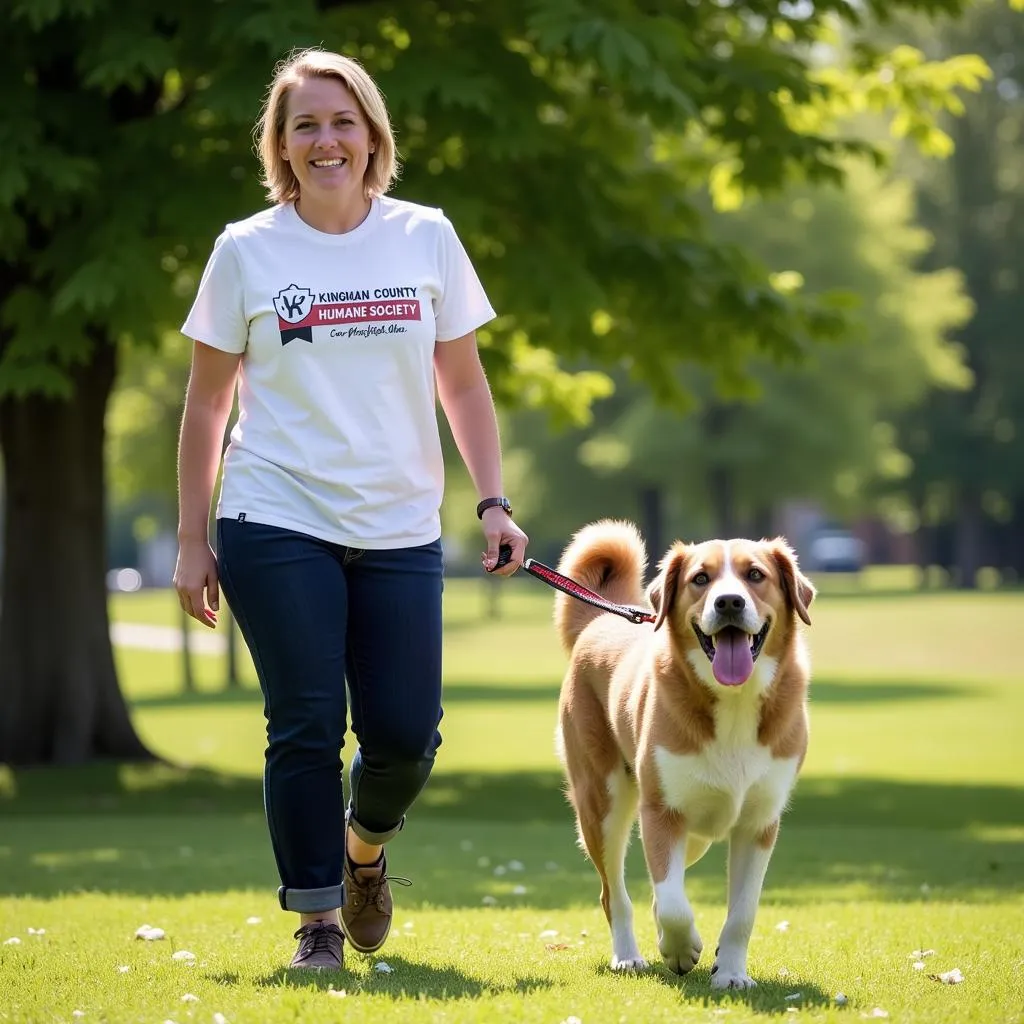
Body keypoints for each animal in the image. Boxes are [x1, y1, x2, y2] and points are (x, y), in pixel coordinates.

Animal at [557, 524, 811, 987]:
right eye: (700, 578)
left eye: (755, 574)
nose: (729, 602)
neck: (733, 701)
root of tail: (601, 619)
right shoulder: (662, 812)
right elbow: (673, 902)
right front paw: (681, 948)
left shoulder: (759, 823)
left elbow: (742, 912)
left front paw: (731, 973)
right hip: (602, 804)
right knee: (614, 893)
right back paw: (628, 956)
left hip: (698, 834)